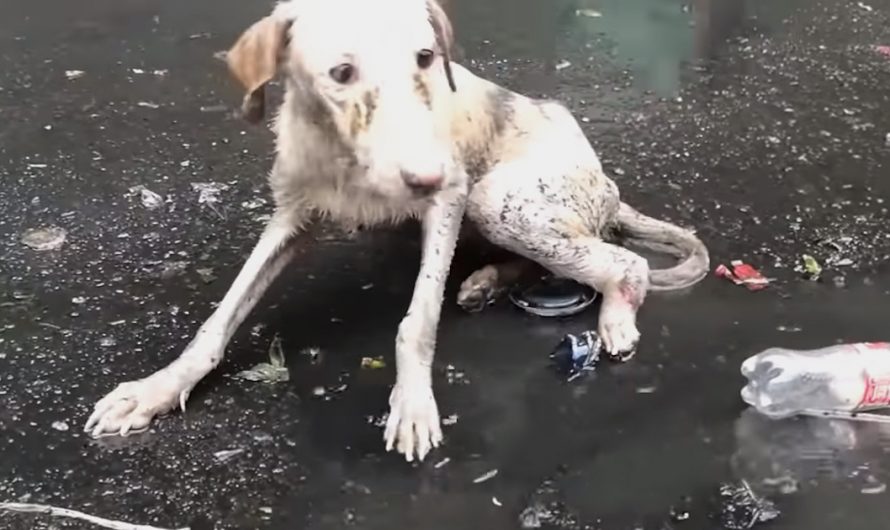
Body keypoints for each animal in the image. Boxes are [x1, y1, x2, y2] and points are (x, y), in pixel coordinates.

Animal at [83, 0, 708, 460]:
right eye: (341, 73)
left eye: (426, 57)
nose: (426, 173)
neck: (344, 158)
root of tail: (610, 186)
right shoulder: (290, 217)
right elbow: (219, 319)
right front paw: (158, 388)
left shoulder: (448, 201)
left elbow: (418, 321)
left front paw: (411, 403)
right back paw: (488, 280)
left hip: (498, 199)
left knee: (622, 261)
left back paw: (613, 314)